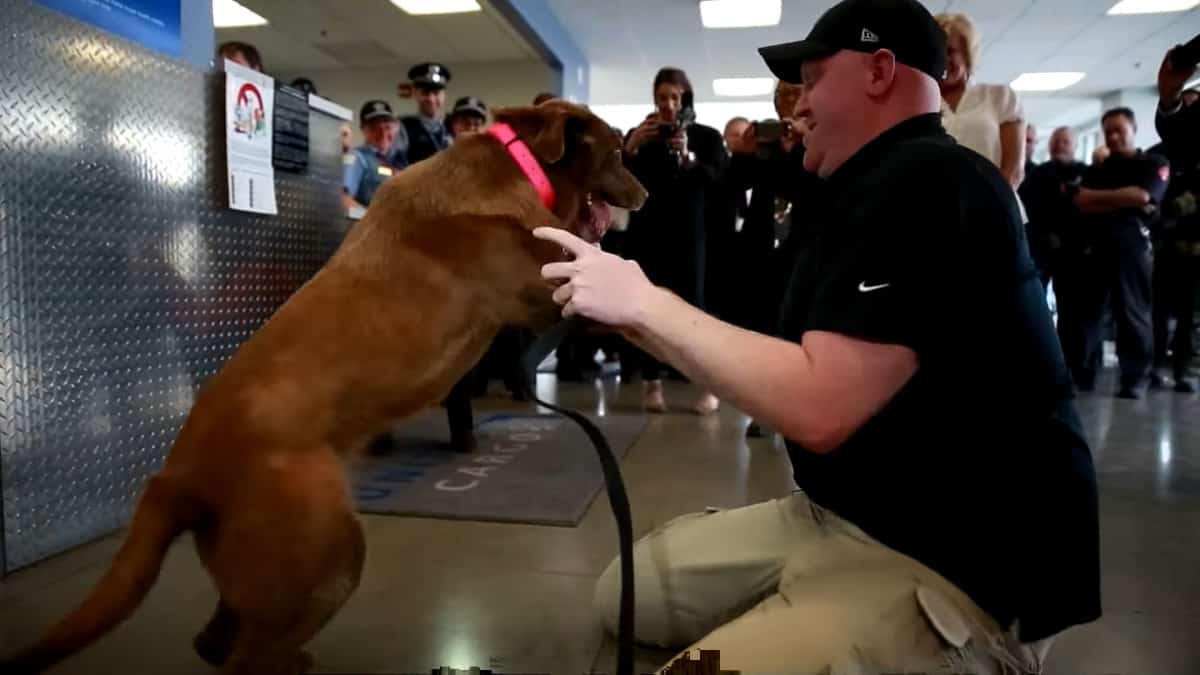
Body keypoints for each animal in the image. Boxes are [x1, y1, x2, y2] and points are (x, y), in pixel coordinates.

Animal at [2, 99, 648, 672]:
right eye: (618, 149)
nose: (645, 196)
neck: (514, 168)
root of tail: (175, 476)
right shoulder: (554, 296)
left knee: (216, 641)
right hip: (329, 552)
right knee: (245, 657)